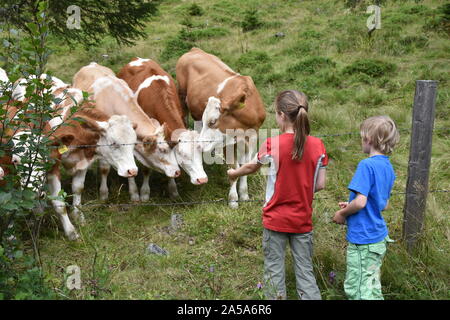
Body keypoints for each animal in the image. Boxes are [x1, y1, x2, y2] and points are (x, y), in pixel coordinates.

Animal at [72, 62, 181, 201]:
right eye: (162, 150)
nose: (177, 172)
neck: (113, 98)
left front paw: (134, 194)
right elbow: (104, 169)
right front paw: (104, 194)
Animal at [115, 57, 208, 198]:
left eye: (200, 151)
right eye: (182, 153)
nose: (202, 179)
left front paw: (173, 191)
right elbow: (146, 168)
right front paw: (144, 193)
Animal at [177, 47, 268, 208]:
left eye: (213, 121)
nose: (199, 146)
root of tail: (194, 50)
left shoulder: (252, 136)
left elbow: (244, 166)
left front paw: (244, 195)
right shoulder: (228, 143)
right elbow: (233, 169)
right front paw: (233, 200)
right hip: (182, 99)